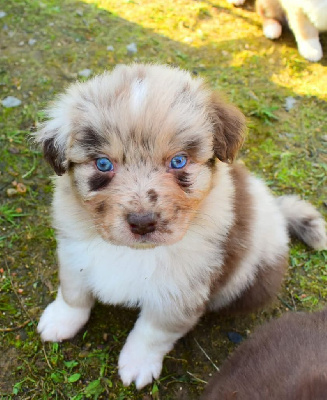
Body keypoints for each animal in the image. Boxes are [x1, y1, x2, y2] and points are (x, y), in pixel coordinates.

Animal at [34, 64, 326, 390]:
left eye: (178, 161)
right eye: (103, 164)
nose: (143, 223)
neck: (136, 252)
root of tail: (275, 208)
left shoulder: (179, 293)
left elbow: (152, 332)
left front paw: (138, 364)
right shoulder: (74, 254)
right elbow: (73, 293)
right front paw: (60, 320)